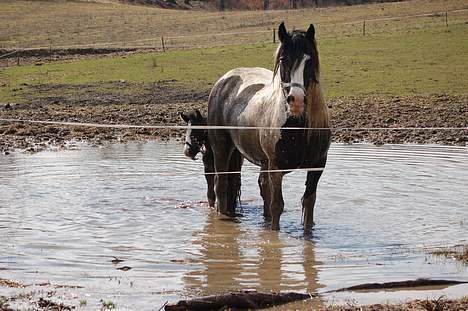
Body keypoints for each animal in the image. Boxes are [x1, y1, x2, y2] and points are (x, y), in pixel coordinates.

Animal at [207, 22, 330, 232]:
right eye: (283, 59)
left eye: (310, 60)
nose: (297, 101)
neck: (297, 129)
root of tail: (225, 80)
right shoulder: (276, 168)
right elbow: (277, 205)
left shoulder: (317, 167)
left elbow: (308, 203)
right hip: (221, 148)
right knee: (221, 185)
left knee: (262, 188)